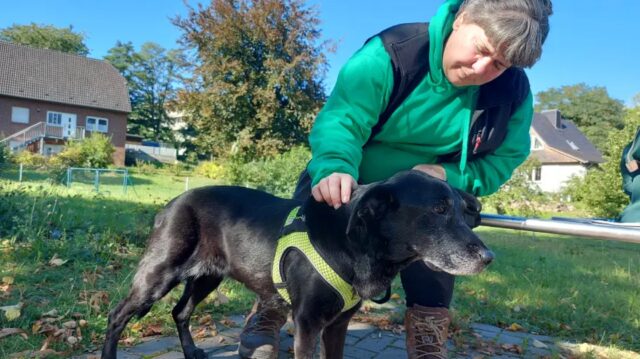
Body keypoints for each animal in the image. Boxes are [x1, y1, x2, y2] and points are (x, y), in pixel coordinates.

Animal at [102, 170, 492, 358]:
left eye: (462, 211)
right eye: (438, 210)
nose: (488, 258)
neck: (354, 244)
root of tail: (172, 203)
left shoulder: (338, 325)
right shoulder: (307, 324)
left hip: (207, 278)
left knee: (180, 311)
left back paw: (193, 352)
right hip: (159, 273)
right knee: (118, 314)